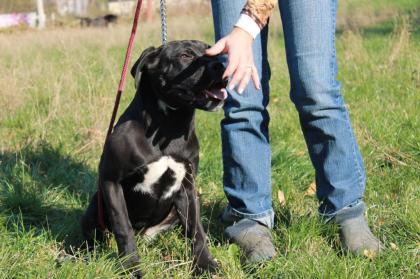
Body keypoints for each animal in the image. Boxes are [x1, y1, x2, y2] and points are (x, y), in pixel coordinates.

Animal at [81, 40, 228, 278]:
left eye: (212, 50)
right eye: (185, 55)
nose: (223, 64)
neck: (169, 124)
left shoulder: (188, 187)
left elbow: (197, 230)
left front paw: (205, 264)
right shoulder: (110, 181)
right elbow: (123, 228)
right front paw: (131, 267)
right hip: (97, 204)